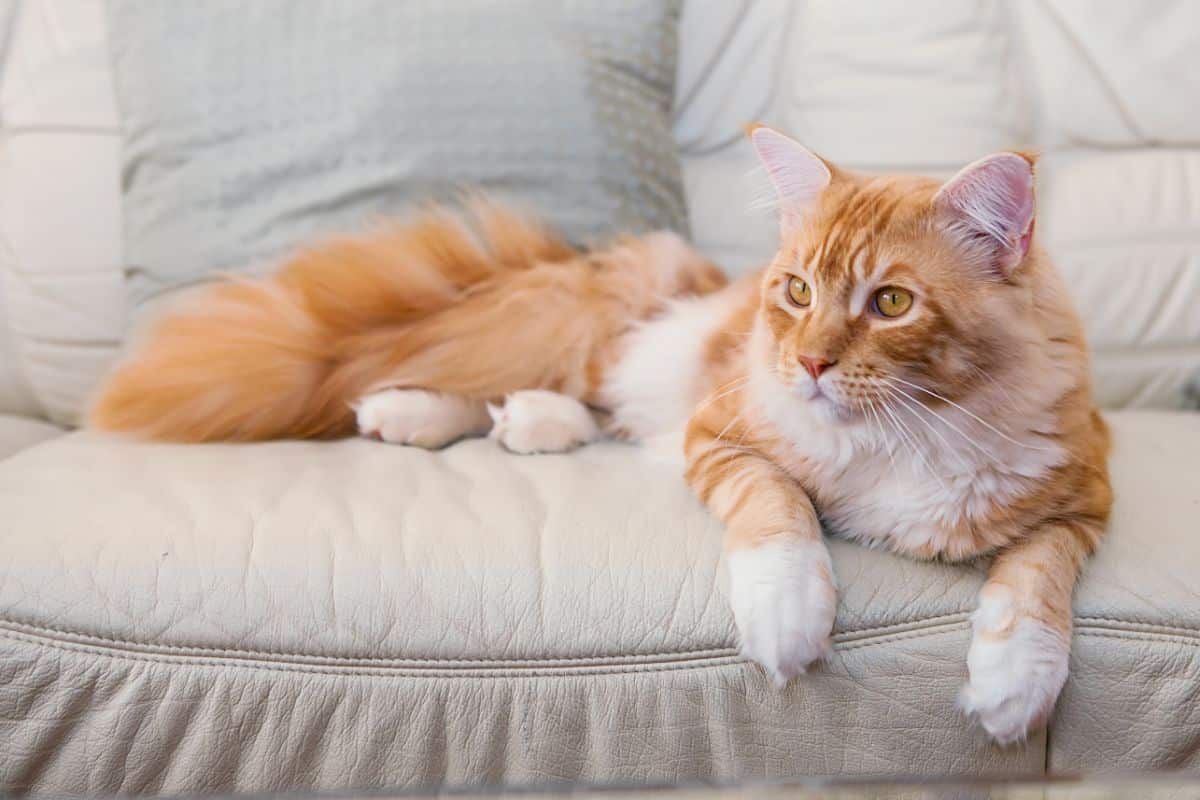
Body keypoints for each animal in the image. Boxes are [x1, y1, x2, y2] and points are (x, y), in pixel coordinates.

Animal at [93, 128, 1113, 748]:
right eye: (797, 292)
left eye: (892, 303)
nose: (809, 364)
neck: (909, 437)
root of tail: (688, 275)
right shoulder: (726, 440)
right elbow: (781, 516)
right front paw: (788, 623)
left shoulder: (1083, 493)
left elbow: (1036, 578)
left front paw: (1014, 686)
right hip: (621, 346)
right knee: (548, 385)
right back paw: (413, 411)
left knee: (592, 415)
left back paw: (521, 425)